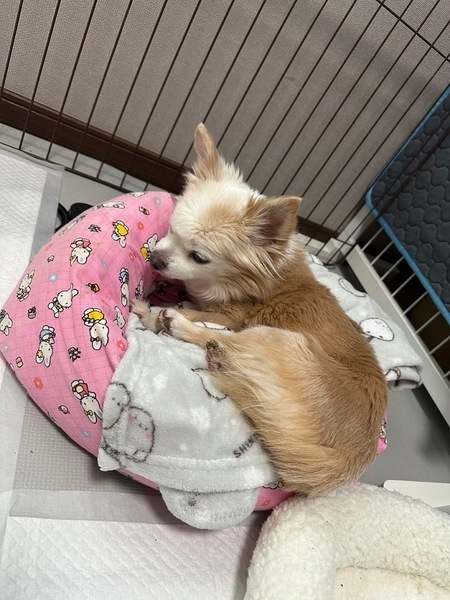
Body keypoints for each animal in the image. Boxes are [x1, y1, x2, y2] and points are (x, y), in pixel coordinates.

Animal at [131, 123, 388, 496]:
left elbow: (197, 313)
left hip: (271, 337)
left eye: (199, 257)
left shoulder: (233, 316)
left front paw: (154, 312)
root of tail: (347, 463)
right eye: (171, 229)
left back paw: (176, 325)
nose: (155, 259)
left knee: (214, 337)